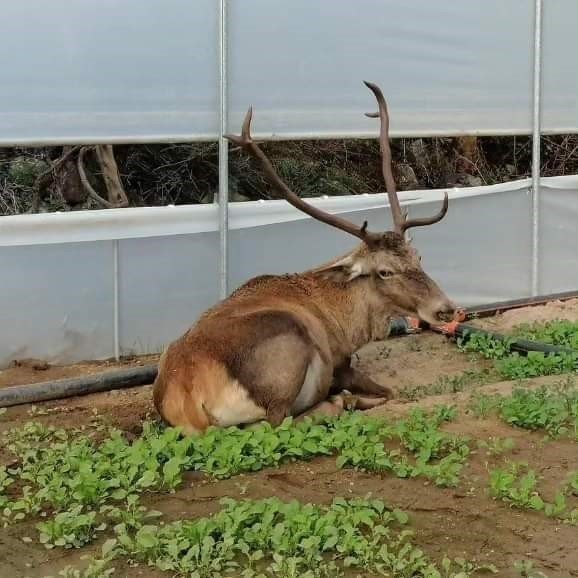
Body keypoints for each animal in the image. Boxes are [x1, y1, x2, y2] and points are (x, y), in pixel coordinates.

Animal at [152, 81, 454, 432]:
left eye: (418, 256)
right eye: (384, 271)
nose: (446, 309)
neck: (346, 324)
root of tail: (187, 399)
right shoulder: (339, 362)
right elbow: (388, 390)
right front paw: (353, 397)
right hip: (286, 353)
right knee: (276, 422)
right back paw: (340, 402)